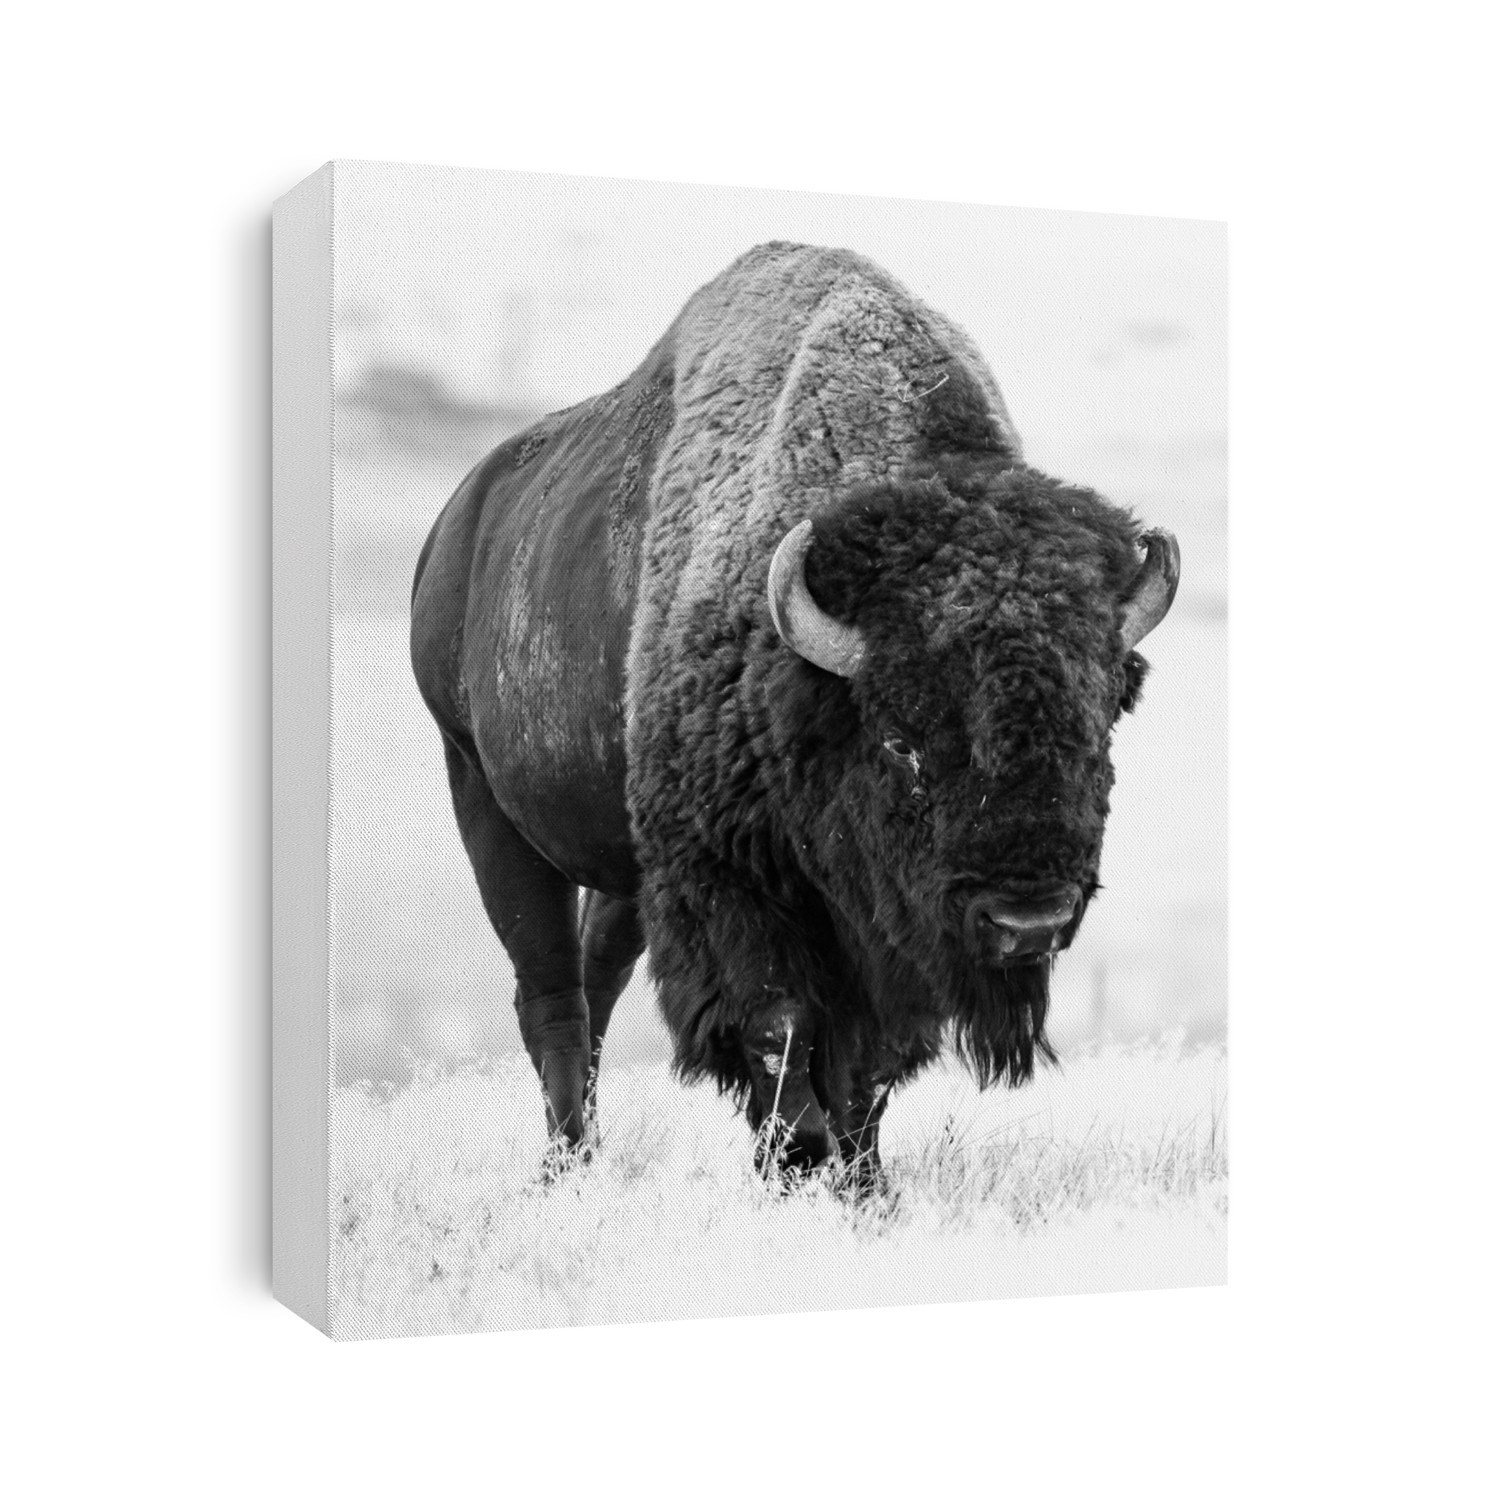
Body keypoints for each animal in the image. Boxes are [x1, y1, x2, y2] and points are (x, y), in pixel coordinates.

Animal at [410, 242, 1178, 1184]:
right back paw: (568, 1168)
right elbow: (780, 1036)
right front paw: (801, 1163)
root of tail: (455, 525)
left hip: (625, 862)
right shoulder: (727, 886)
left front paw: (866, 1185)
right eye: (900, 740)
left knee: (596, 979)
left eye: (1100, 727)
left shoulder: (870, 936)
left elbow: (867, 1069)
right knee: (551, 994)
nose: (1025, 922)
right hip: (486, 801)